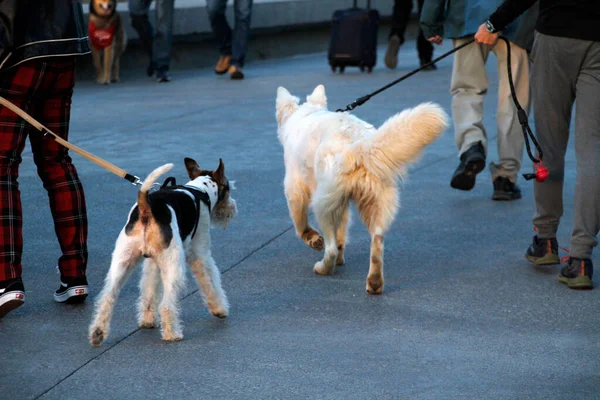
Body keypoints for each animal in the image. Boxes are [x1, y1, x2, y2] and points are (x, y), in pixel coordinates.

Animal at [274, 84, 448, 294]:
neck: (306, 114)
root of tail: (356, 145)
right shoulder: (342, 203)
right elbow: (342, 233)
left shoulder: (294, 189)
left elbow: (300, 224)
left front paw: (312, 238)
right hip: (374, 202)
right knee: (377, 243)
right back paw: (374, 282)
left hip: (323, 203)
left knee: (331, 248)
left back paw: (324, 267)